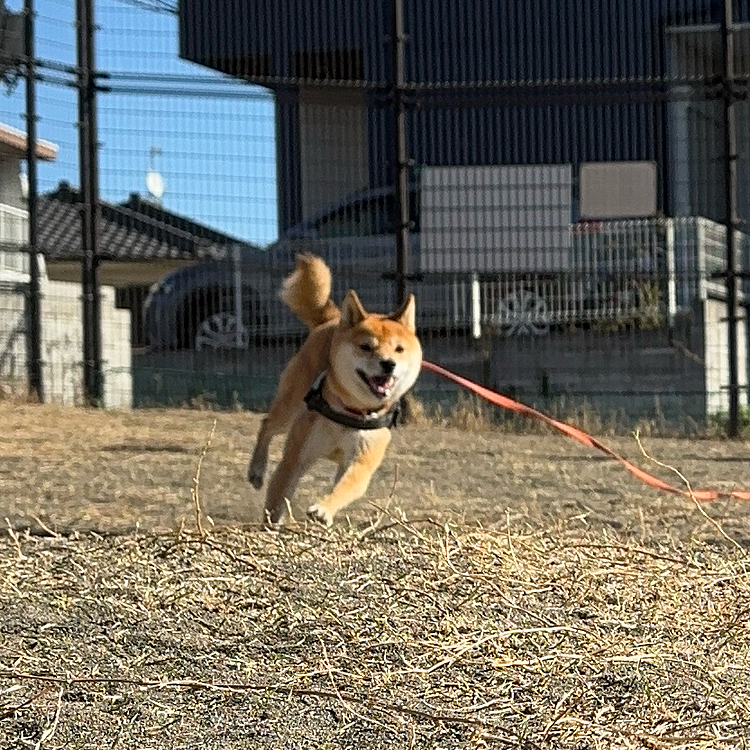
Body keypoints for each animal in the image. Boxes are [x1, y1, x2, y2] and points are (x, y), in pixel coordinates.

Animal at [248, 256, 420, 532]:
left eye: (399, 349)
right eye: (366, 347)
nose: (388, 364)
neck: (350, 410)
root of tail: (334, 319)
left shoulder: (360, 461)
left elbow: (346, 487)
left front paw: (323, 510)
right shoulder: (296, 456)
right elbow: (279, 492)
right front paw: (272, 523)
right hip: (290, 406)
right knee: (267, 425)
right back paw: (256, 470)